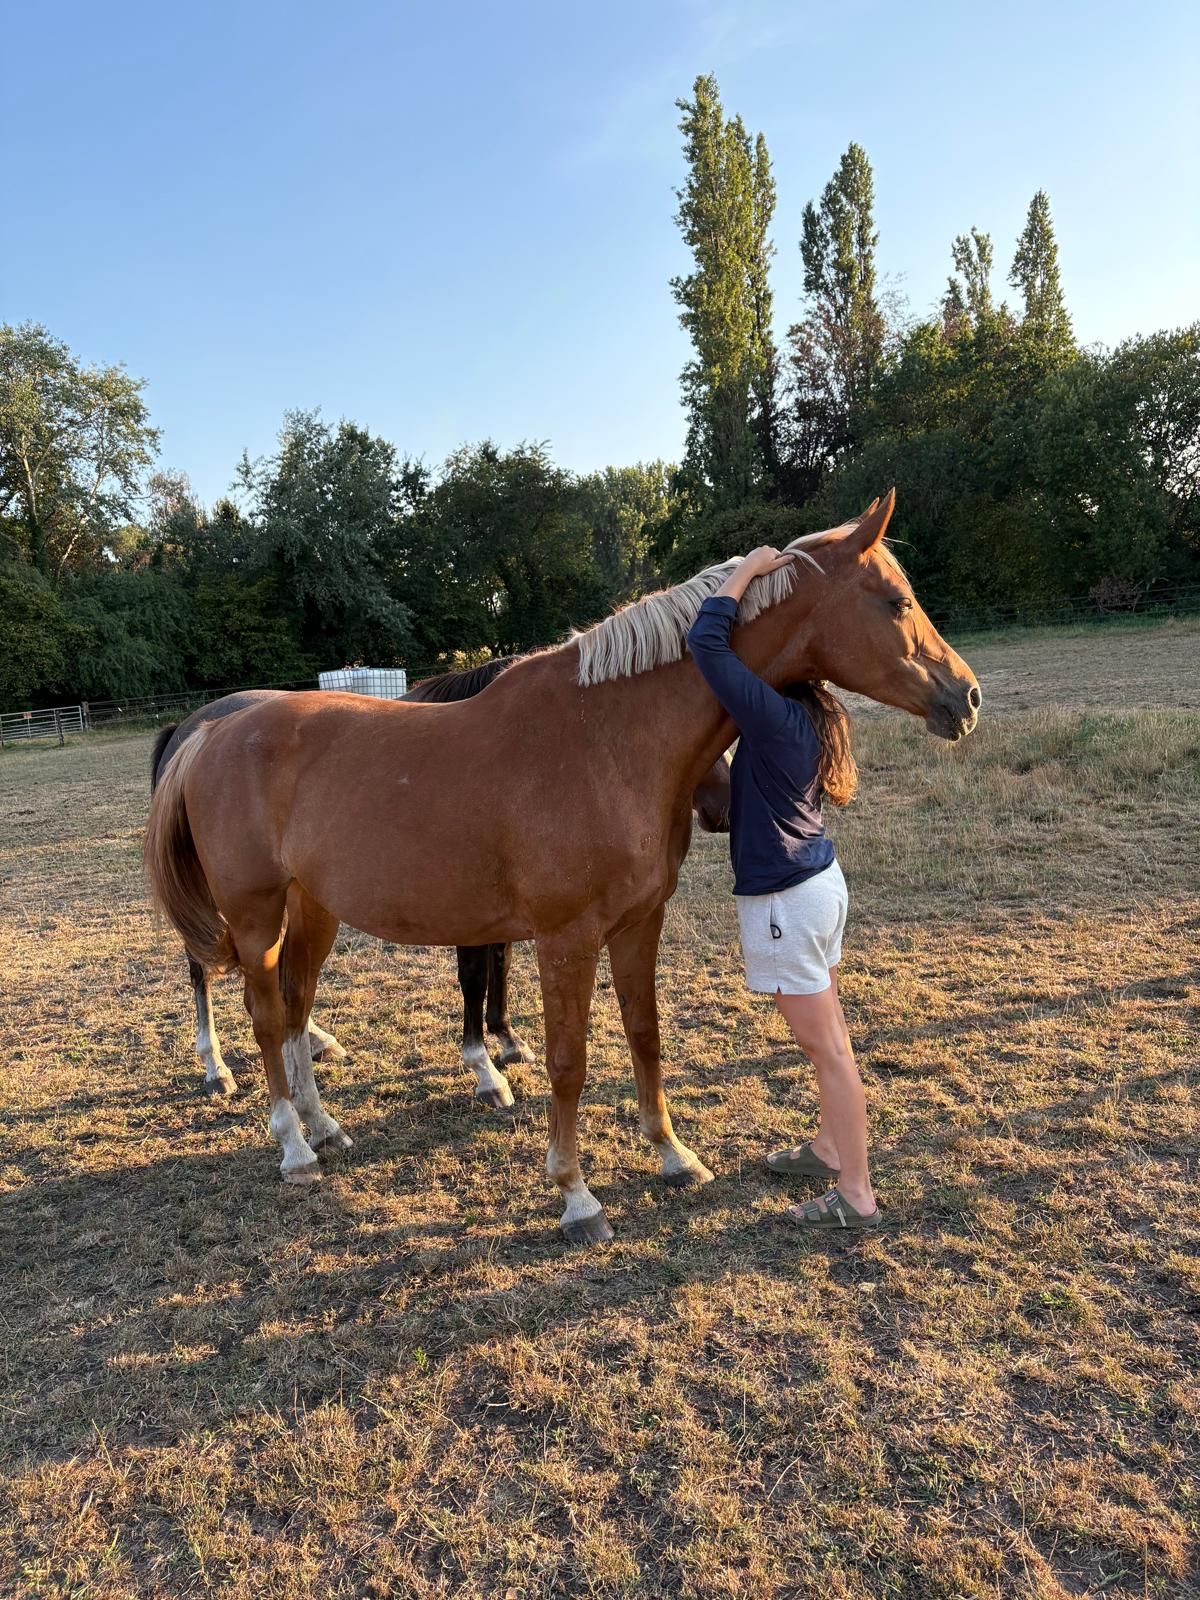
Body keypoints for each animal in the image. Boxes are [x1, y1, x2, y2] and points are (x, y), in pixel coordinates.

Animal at [150, 669, 732, 1106]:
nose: (721, 809)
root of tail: (195, 727)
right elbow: (475, 976)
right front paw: (486, 1068)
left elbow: (501, 964)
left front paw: (507, 1039)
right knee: (204, 970)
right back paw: (216, 1066)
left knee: (279, 981)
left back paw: (313, 1043)